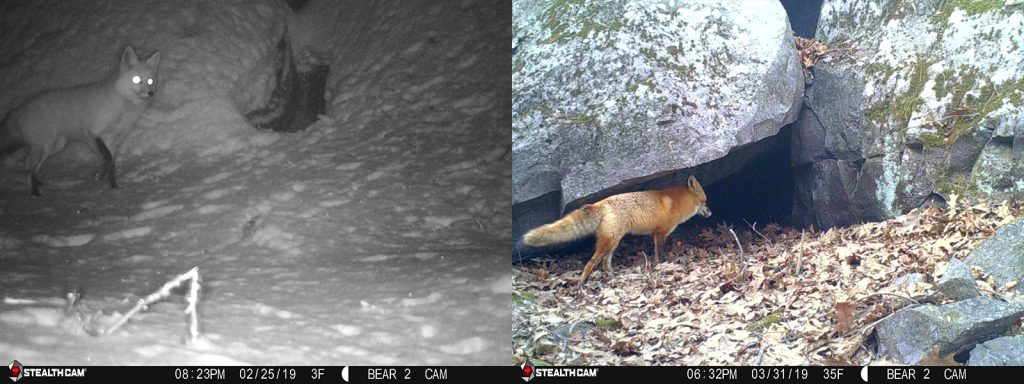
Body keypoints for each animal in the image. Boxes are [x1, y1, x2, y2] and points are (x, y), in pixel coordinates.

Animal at [0, 46, 159, 196]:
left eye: (151, 81)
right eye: (136, 79)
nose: (151, 93)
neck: (122, 107)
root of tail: (18, 109)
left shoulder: (113, 141)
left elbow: (111, 165)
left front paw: (114, 188)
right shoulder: (92, 133)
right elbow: (106, 158)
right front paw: (100, 176)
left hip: (56, 147)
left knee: (28, 166)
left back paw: (35, 184)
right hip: (46, 146)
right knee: (31, 169)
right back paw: (35, 194)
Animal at [520, 176, 712, 290]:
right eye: (705, 201)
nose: (711, 213)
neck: (675, 203)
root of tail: (600, 203)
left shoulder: (657, 235)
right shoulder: (660, 234)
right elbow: (659, 256)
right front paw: (661, 267)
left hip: (614, 242)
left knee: (605, 265)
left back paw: (611, 276)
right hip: (609, 243)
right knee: (590, 264)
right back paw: (581, 284)